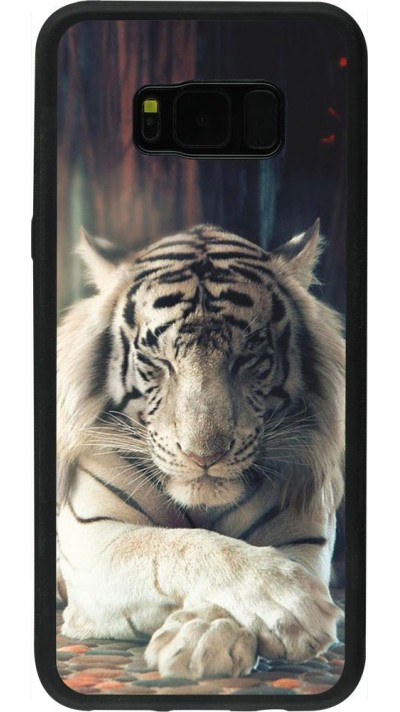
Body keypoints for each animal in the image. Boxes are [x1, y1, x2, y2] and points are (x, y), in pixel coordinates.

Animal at [57, 220, 345, 680]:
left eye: (248, 358)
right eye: (158, 361)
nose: (203, 456)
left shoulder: (303, 538)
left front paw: (203, 637)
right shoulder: (93, 538)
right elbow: (179, 545)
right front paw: (289, 603)